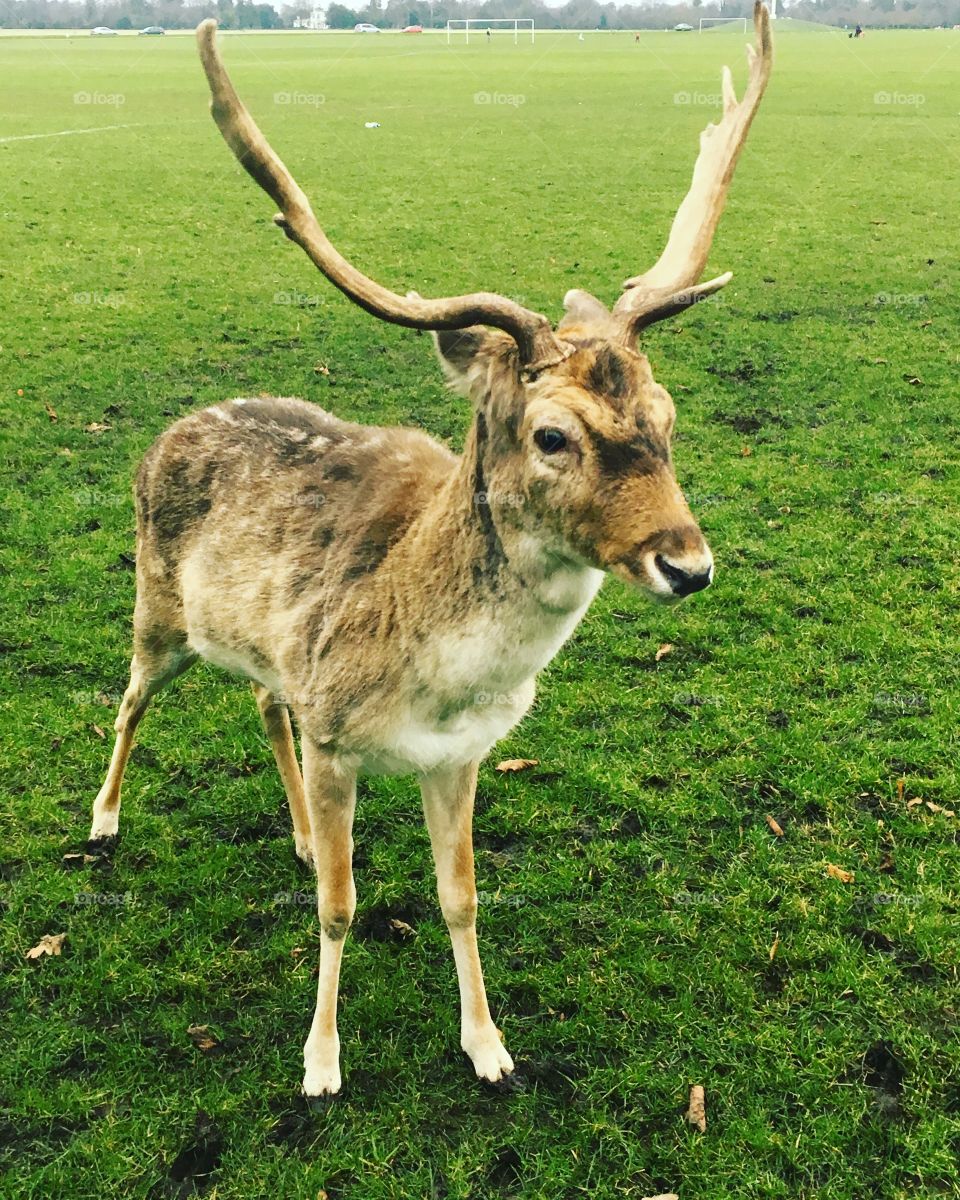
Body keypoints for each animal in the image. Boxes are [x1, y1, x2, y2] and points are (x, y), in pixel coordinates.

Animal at [87, 5, 772, 1099]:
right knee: (130, 699)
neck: (438, 680)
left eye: (667, 417)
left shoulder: (459, 756)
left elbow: (461, 898)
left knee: (262, 702)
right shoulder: (336, 739)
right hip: (157, 607)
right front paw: (321, 1063)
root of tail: (167, 431)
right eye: (551, 436)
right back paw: (105, 822)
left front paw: (489, 1047)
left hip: (268, 654)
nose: (688, 564)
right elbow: (340, 907)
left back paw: (292, 835)